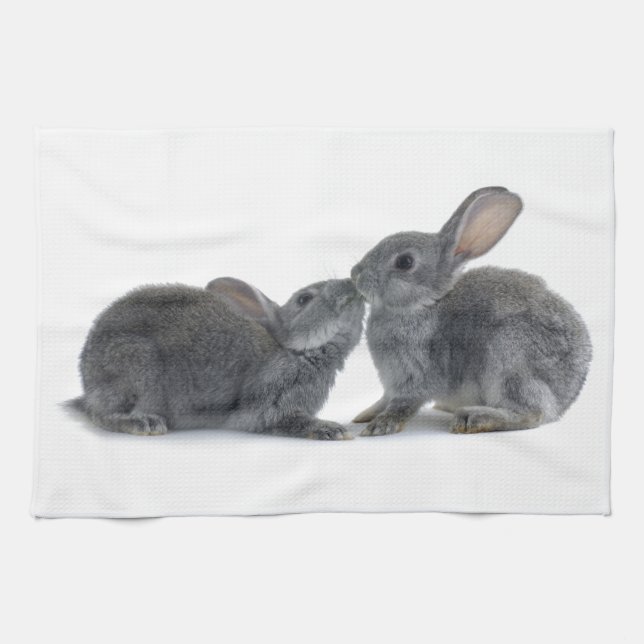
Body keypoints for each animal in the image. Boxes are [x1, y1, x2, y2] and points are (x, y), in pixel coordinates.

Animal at [68, 276, 365, 440]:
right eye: (304, 299)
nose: (352, 284)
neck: (296, 351)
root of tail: (87, 384)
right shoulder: (269, 403)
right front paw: (332, 429)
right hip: (136, 366)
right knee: (100, 415)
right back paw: (144, 423)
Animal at [350, 186, 592, 436]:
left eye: (405, 262)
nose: (355, 274)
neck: (423, 305)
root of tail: (564, 401)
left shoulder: (416, 375)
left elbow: (402, 404)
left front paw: (380, 426)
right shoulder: (391, 384)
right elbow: (383, 400)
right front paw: (363, 416)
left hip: (509, 359)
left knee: (532, 414)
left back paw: (474, 418)